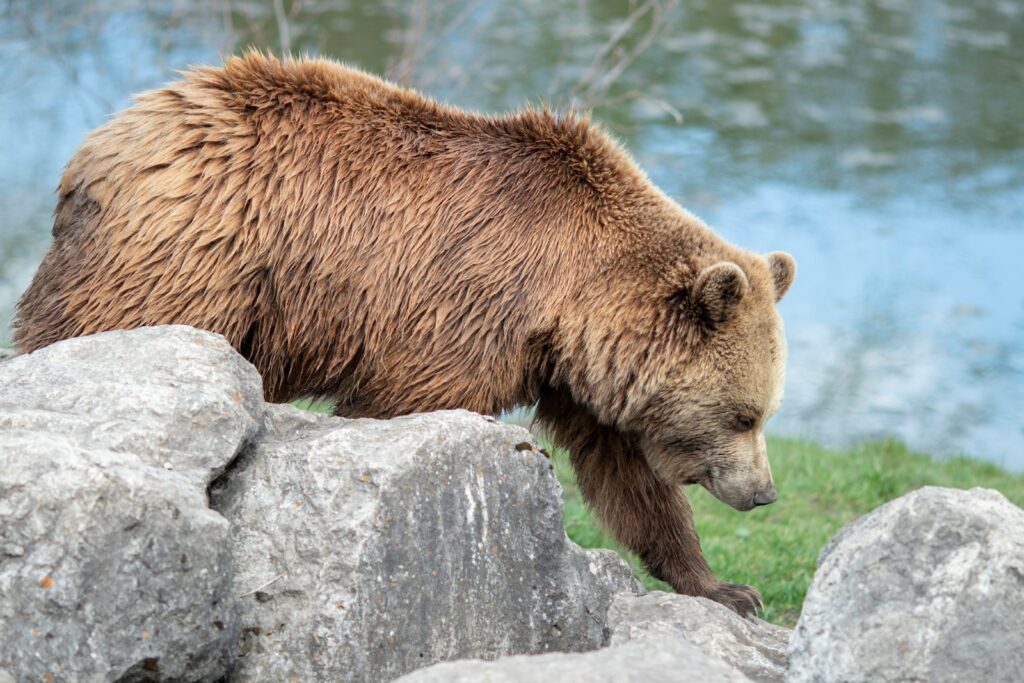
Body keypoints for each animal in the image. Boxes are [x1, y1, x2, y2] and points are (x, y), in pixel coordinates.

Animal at [14, 52, 795, 616]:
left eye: (764, 412)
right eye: (744, 413)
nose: (764, 493)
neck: (573, 297)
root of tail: (111, 138)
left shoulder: (580, 376)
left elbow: (631, 478)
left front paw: (724, 587)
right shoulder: (467, 312)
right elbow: (405, 406)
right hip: (193, 258)